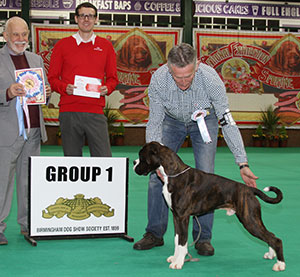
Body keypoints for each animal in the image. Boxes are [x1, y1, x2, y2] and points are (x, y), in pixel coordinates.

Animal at [134, 141, 286, 270]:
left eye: (141, 156)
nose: (134, 162)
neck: (173, 174)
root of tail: (249, 189)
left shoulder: (183, 217)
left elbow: (182, 241)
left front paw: (178, 263)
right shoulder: (176, 217)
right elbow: (177, 239)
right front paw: (175, 258)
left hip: (249, 220)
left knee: (275, 239)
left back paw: (280, 265)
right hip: (252, 220)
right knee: (270, 235)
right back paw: (271, 255)